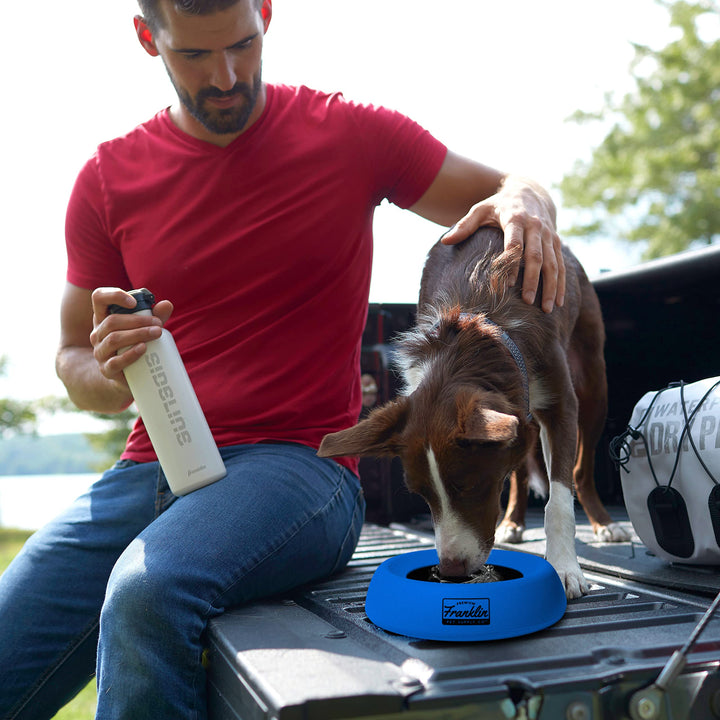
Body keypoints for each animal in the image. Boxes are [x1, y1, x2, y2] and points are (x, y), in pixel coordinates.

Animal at [320, 225, 632, 596]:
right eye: (422, 495)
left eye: (469, 486)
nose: (451, 571)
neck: (474, 333)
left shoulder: (561, 405)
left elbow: (559, 500)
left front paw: (565, 569)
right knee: (521, 468)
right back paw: (513, 521)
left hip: (594, 380)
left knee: (581, 470)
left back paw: (604, 523)